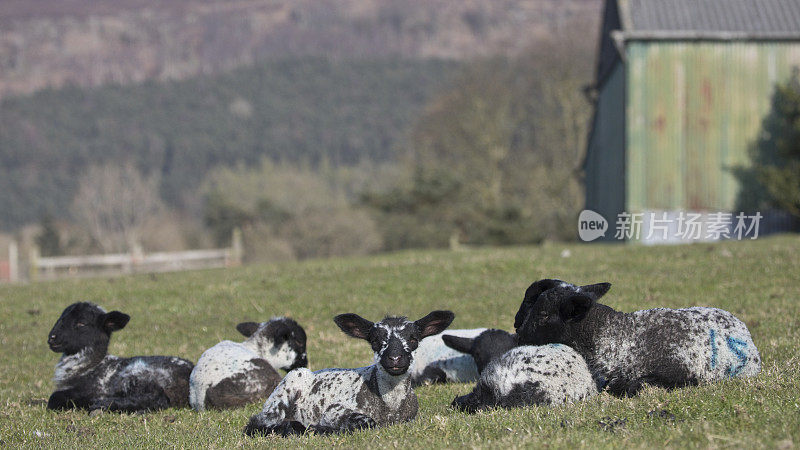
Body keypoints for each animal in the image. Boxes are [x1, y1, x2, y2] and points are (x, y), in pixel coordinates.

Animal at [46, 300, 194, 414]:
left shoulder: (93, 389)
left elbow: (54, 397)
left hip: (139, 376)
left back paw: (102, 405)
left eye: (81, 323)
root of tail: (189, 372)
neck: (88, 366)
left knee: (157, 398)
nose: (52, 338)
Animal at [244, 310, 454, 436]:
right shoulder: (334, 411)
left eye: (413, 339)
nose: (395, 358)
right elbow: (366, 421)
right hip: (285, 391)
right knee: (257, 423)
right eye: (375, 341)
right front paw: (320, 428)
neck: (390, 407)